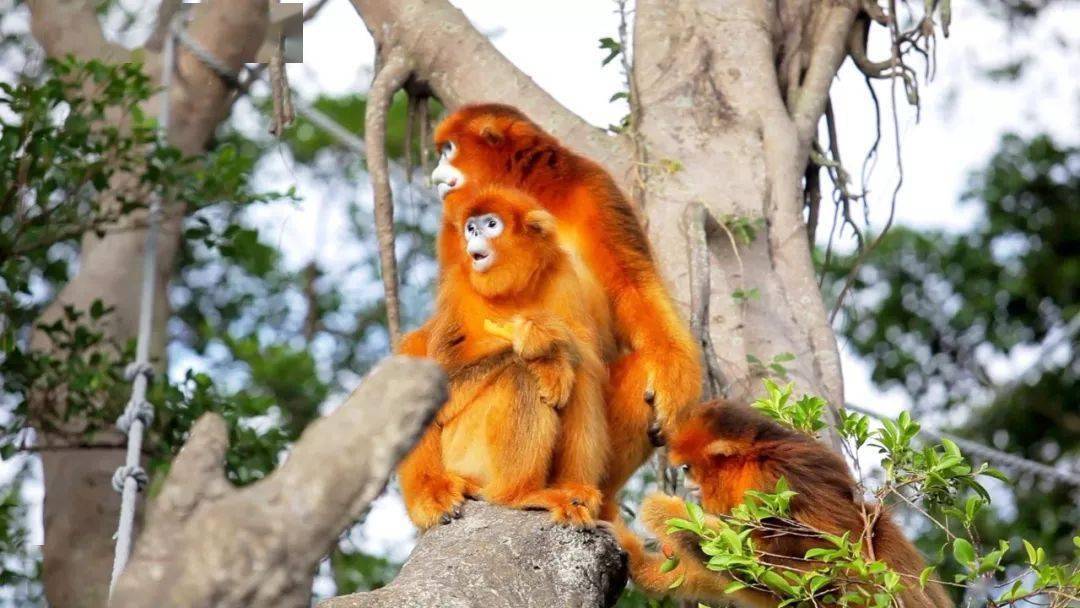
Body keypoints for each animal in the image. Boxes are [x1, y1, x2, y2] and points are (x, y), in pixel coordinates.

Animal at [399, 184, 617, 529]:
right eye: (470, 227)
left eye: (491, 224)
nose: (474, 234)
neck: (510, 293)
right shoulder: (455, 289)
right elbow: (443, 394)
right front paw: (538, 346)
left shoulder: (564, 274)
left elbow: (589, 355)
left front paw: (545, 337)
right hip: (464, 455)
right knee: (521, 373)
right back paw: (518, 495)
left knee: (581, 375)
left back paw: (573, 489)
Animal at [617, 401, 954, 604]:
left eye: (687, 468)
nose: (689, 486)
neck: (751, 457)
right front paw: (638, 561)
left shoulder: (769, 482)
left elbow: (836, 566)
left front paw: (664, 511)